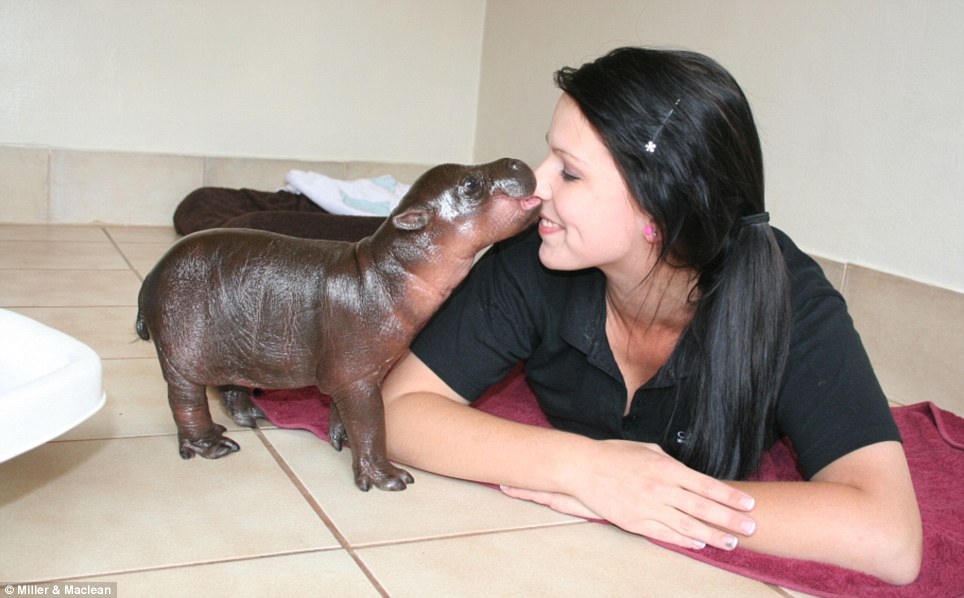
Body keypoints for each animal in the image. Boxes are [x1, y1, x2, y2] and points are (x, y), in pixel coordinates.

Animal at [136, 158, 540, 491]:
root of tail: (152, 275)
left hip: (232, 347)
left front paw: (339, 439)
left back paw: (252, 417)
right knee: (185, 400)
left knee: (229, 384)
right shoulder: (358, 373)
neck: (390, 266)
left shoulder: (358, 369)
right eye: (470, 183)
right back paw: (215, 445)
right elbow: (372, 422)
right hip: (183, 351)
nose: (516, 161)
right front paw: (390, 480)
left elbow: (344, 412)